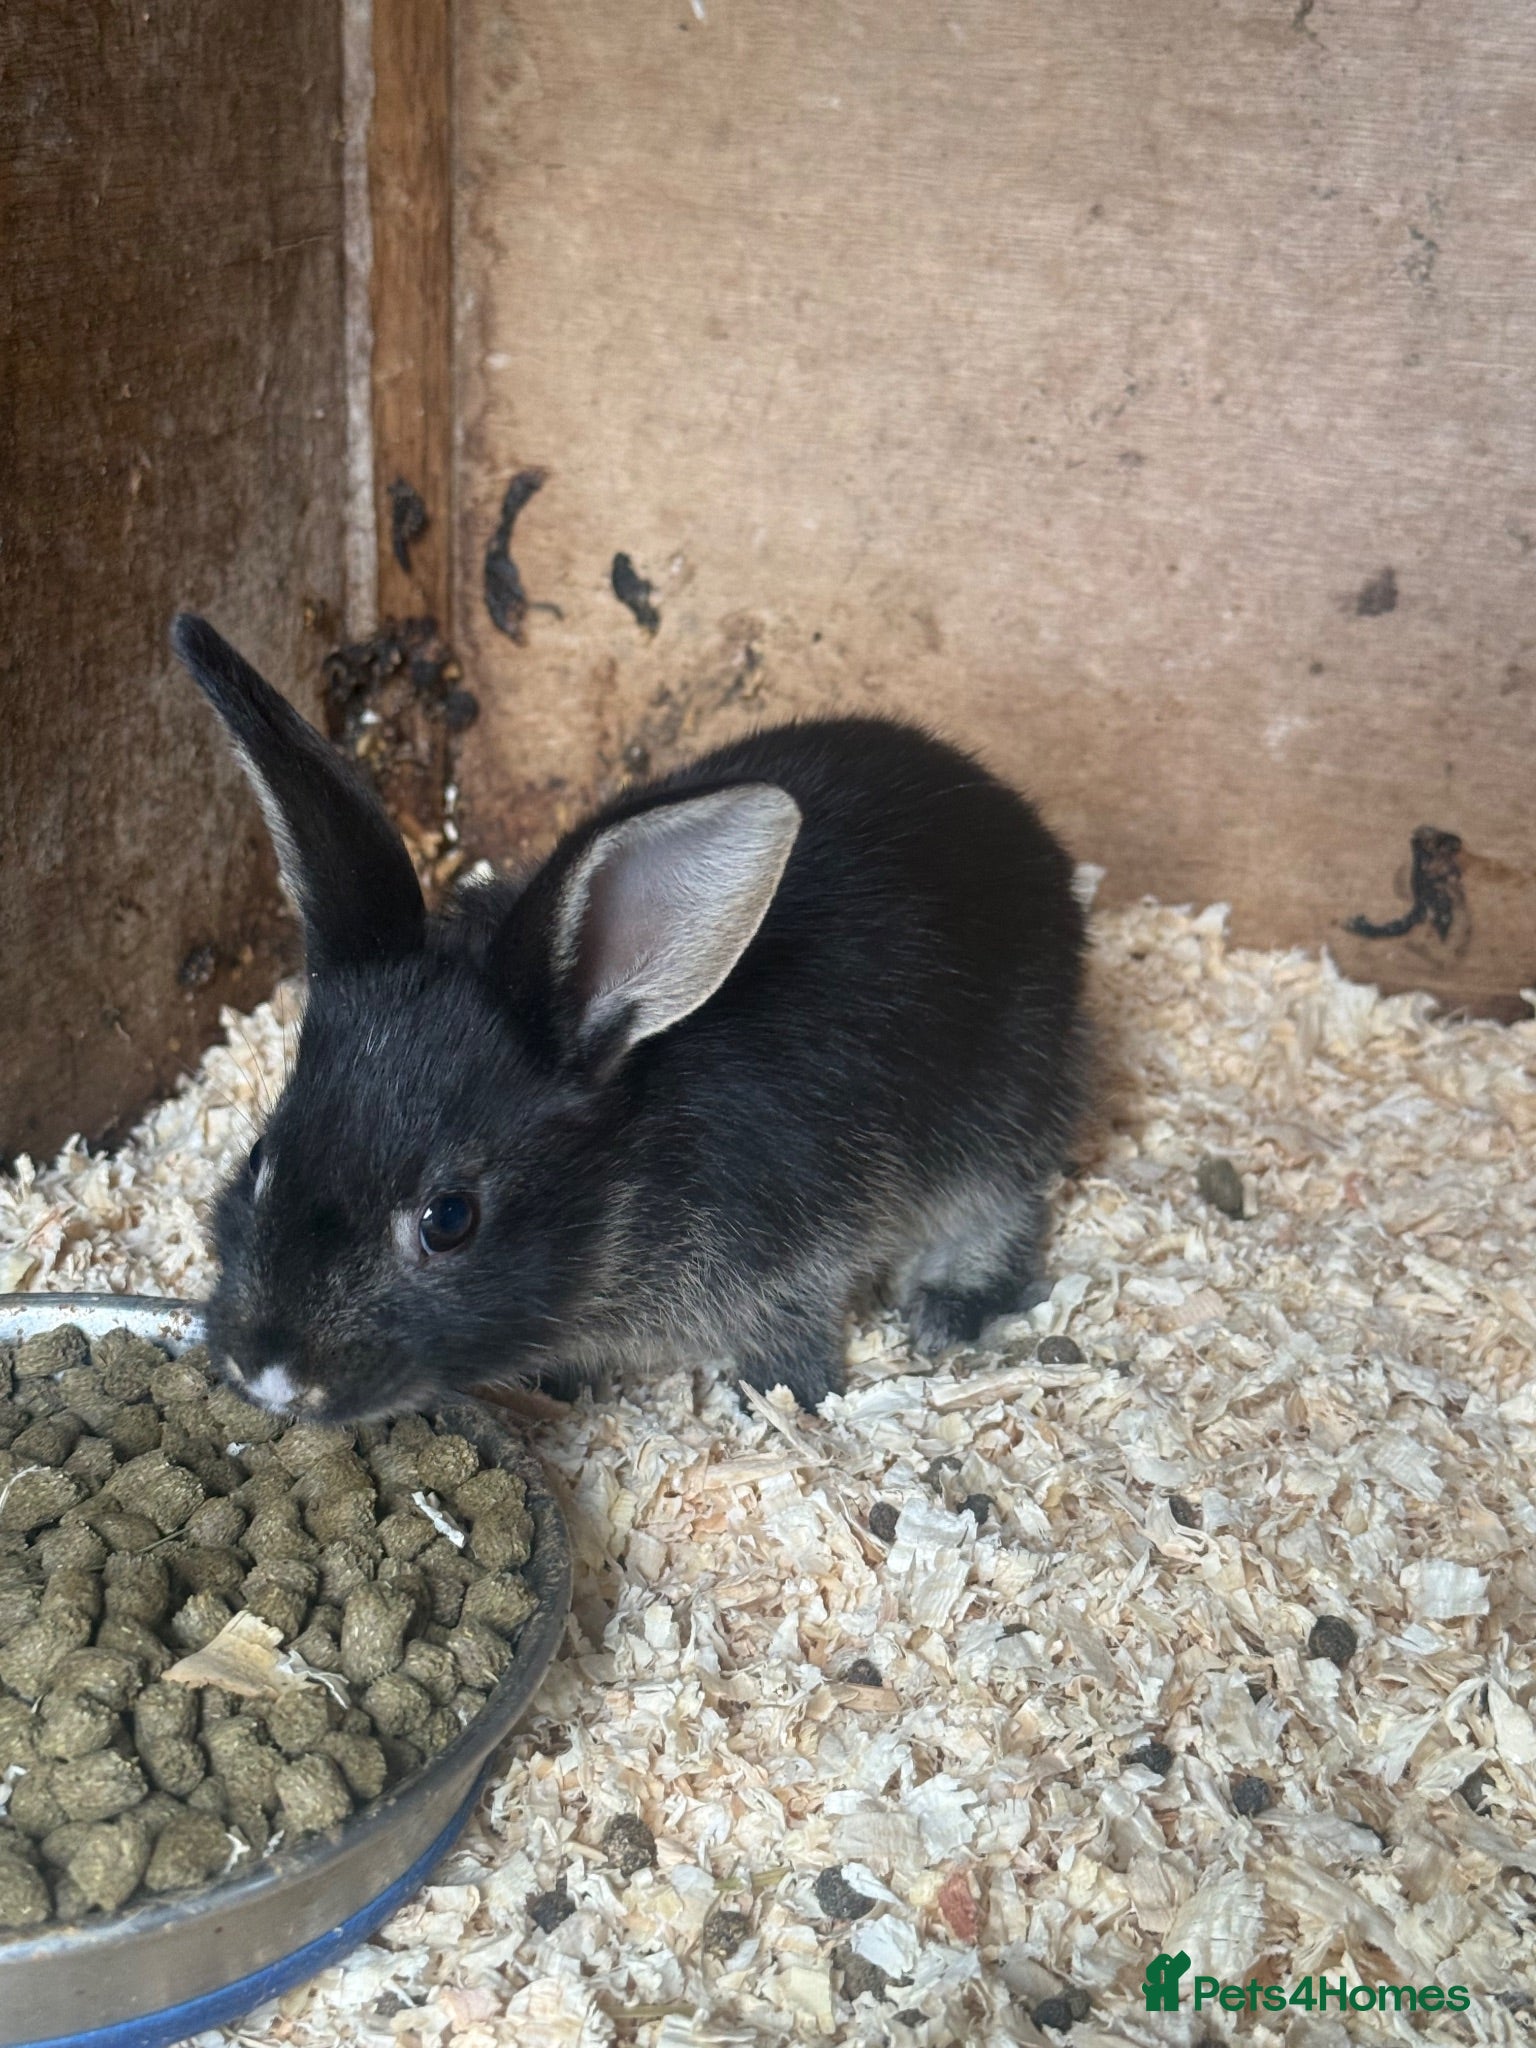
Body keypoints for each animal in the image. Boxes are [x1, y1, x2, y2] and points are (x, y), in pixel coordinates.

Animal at [170, 611, 1089, 1424]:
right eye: (260, 1158)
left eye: (449, 1221)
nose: (271, 1375)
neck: (628, 1178)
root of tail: (1022, 832)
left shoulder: (795, 1265)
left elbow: (794, 1343)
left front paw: (785, 1403)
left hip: (1001, 1121)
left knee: (1007, 1212)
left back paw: (948, 1309)